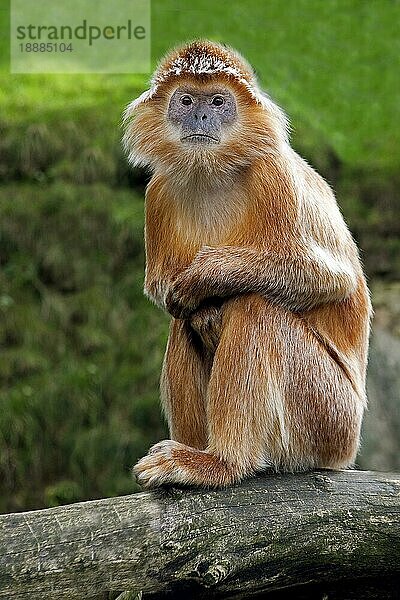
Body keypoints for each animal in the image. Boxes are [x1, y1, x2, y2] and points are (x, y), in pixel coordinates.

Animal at [122, 38, 372, 488]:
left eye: (219, 101)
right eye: (187, 100)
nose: (201, 115)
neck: (211, 172)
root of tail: (346, 452)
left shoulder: (274, 175)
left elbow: (330, 279)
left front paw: (207, 277)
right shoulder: (158, 193)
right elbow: (166, 291)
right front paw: (199, 302)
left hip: (330, 416)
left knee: (256, 308)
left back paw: (222, 463)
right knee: (184, 323)